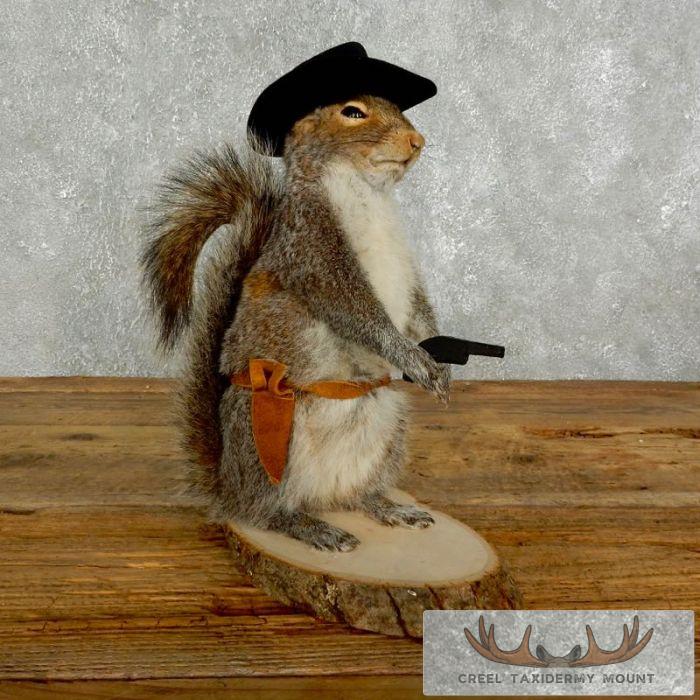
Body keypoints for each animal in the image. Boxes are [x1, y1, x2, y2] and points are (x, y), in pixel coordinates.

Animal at [142, 94, 450, 552]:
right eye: (353, 112)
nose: (417, 141)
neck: (367, 195)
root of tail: (228, 488)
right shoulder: (313, 255)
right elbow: (359, 315)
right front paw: (413, 359)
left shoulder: (407, 273)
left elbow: (419, 312)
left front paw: (440, 361)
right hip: (267, 446)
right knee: (263, 511)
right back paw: (308, 527)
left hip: (388, 429)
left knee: (357, 495)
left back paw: (388, 507)